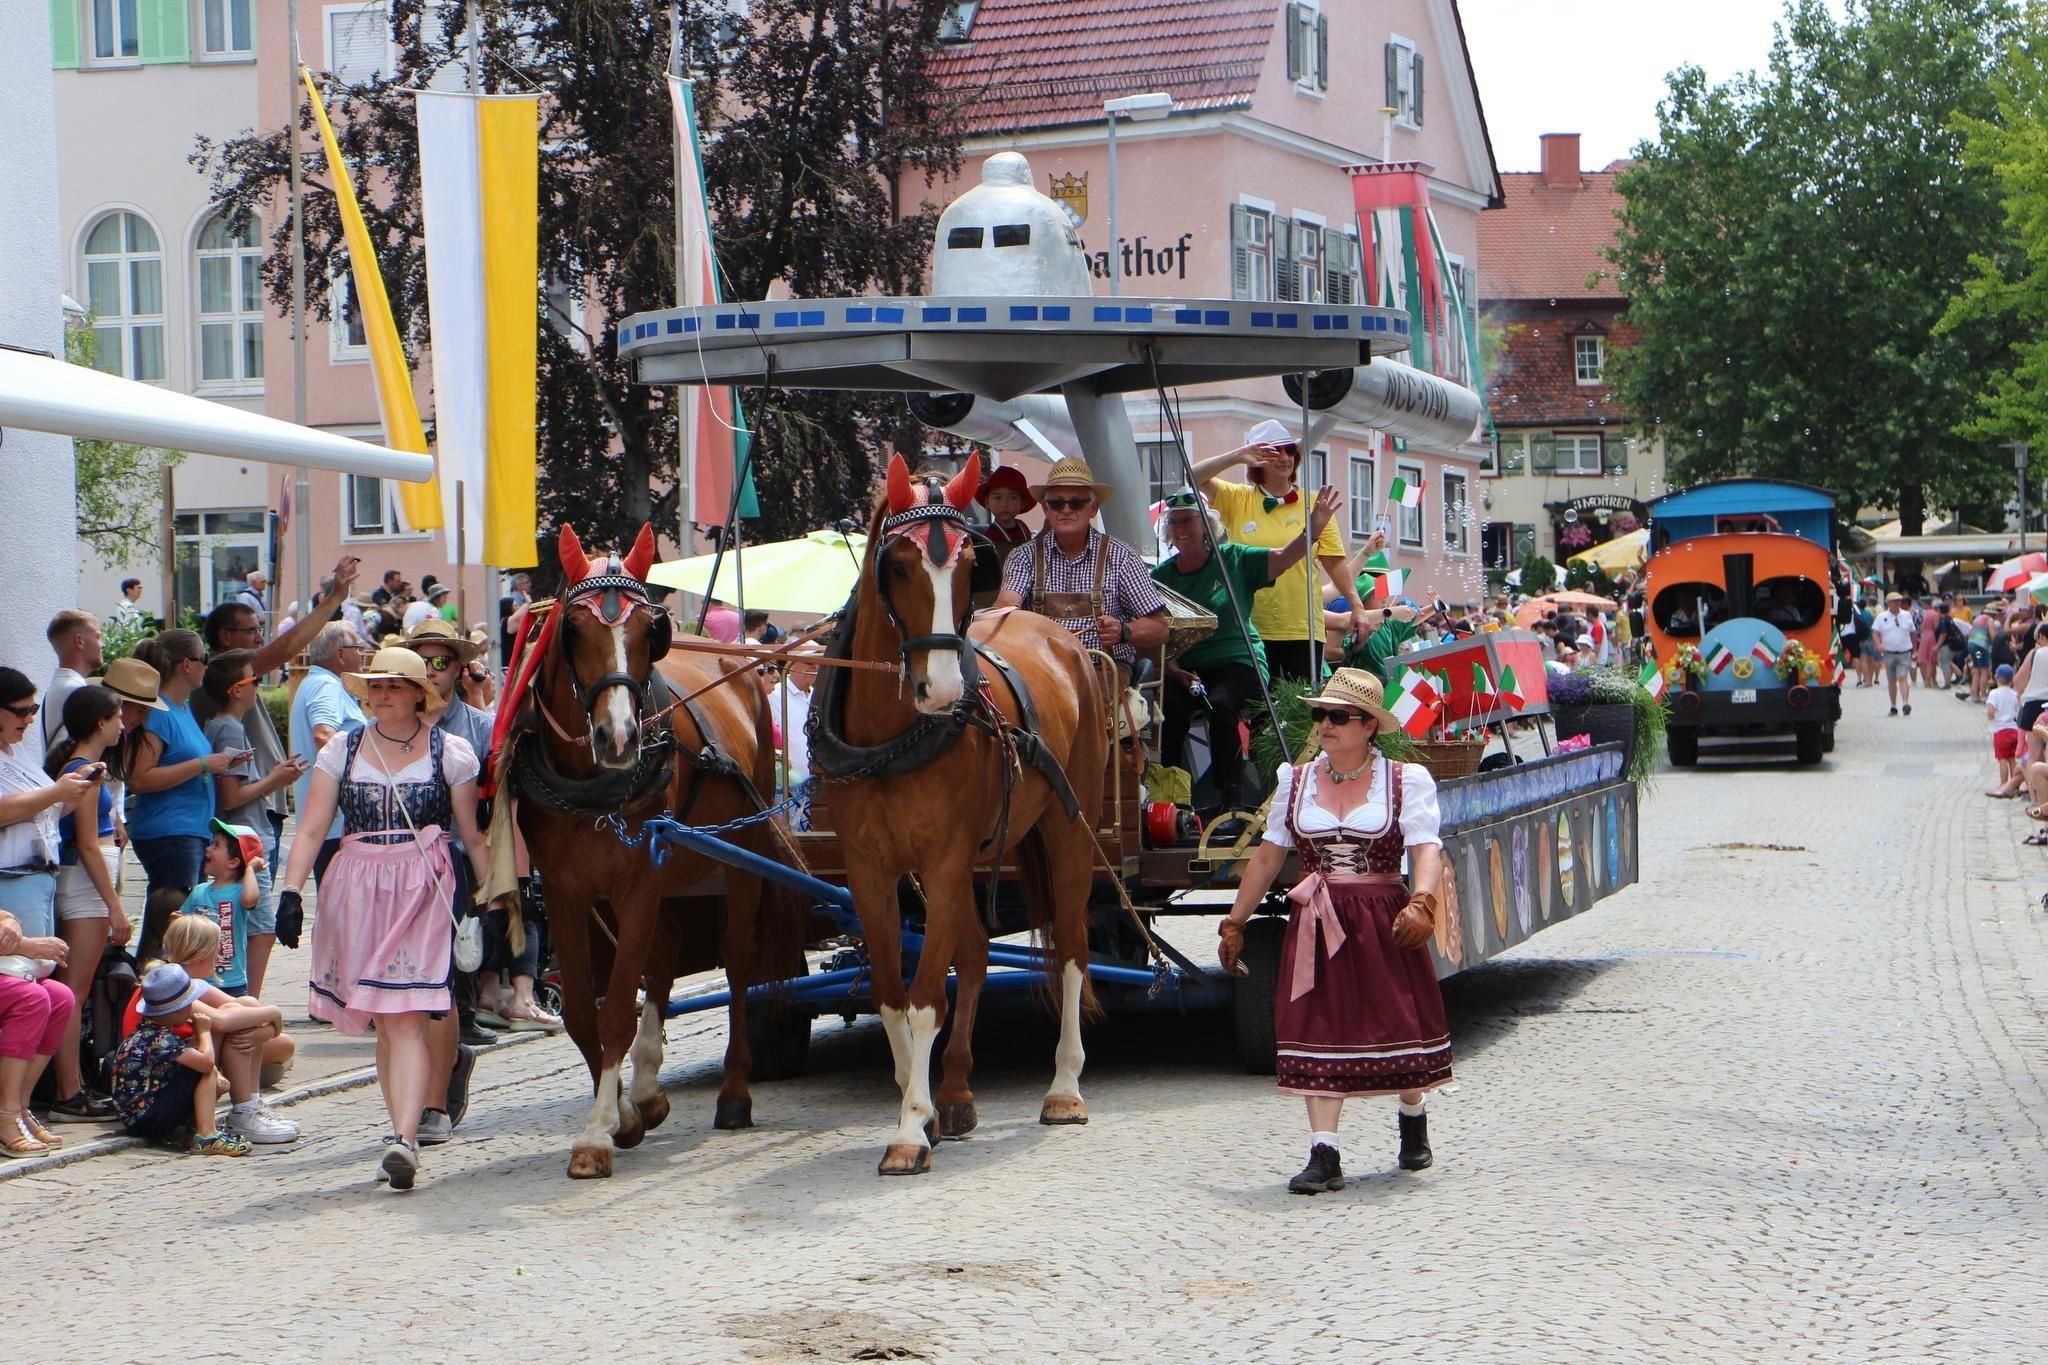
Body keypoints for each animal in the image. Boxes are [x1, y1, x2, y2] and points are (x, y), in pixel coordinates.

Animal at [507, 523, 802, 1178]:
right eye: (573, 628)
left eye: (650, 629)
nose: (618, 738)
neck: (593, 785)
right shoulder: (567, 892)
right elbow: (583, 1011)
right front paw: (624, 1112)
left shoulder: (637, 881)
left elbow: (617, 1007)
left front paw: (596, 1135)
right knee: (665, 954)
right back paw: (646, 1088)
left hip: (736, 858)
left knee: (737, 964)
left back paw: (735, 1093)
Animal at [811, 456, 1114, 1178]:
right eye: (897, 565)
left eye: (972, 565)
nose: (946, 689)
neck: (889, 739)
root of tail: (1060, 637)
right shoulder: (871, 871)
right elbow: (892, 991)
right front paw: (915, 1102)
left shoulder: (944, 859)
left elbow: (926, 995)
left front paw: (908, 1130)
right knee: (975, 952)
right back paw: (954, 1092)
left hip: (1068, 829)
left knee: (1071, 948)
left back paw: (1063, 1087)